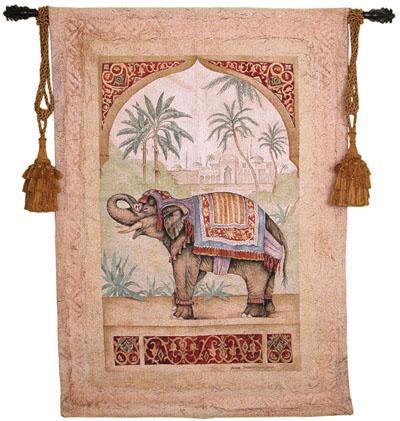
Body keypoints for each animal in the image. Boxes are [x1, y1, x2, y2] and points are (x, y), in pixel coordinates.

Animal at [106, 190, 288, 320]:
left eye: (143, 209)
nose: (136, 203)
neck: (176, 201)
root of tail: (276, 227)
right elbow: (197, 274)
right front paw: (174, 307)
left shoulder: (187, 242)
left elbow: (184, 271)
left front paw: (179, 316)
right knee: (269, 280)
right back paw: (269, 310)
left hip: (258, 260)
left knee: (256, 278)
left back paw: (249, 314)